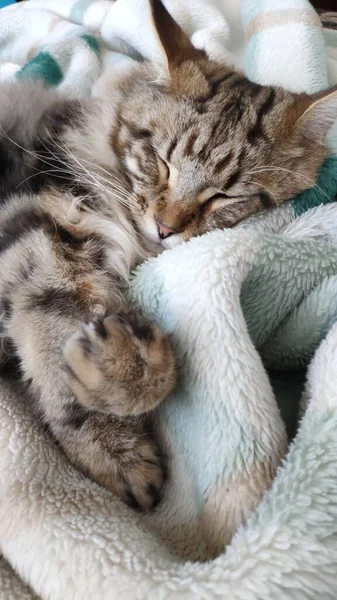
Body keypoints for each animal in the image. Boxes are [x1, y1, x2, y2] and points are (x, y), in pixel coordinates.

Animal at [0, 0, 334, 510]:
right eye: (161, 161)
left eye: (224, 195)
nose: (165, 228)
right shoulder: (35, 222)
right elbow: (56, 332)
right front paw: (117, 436)